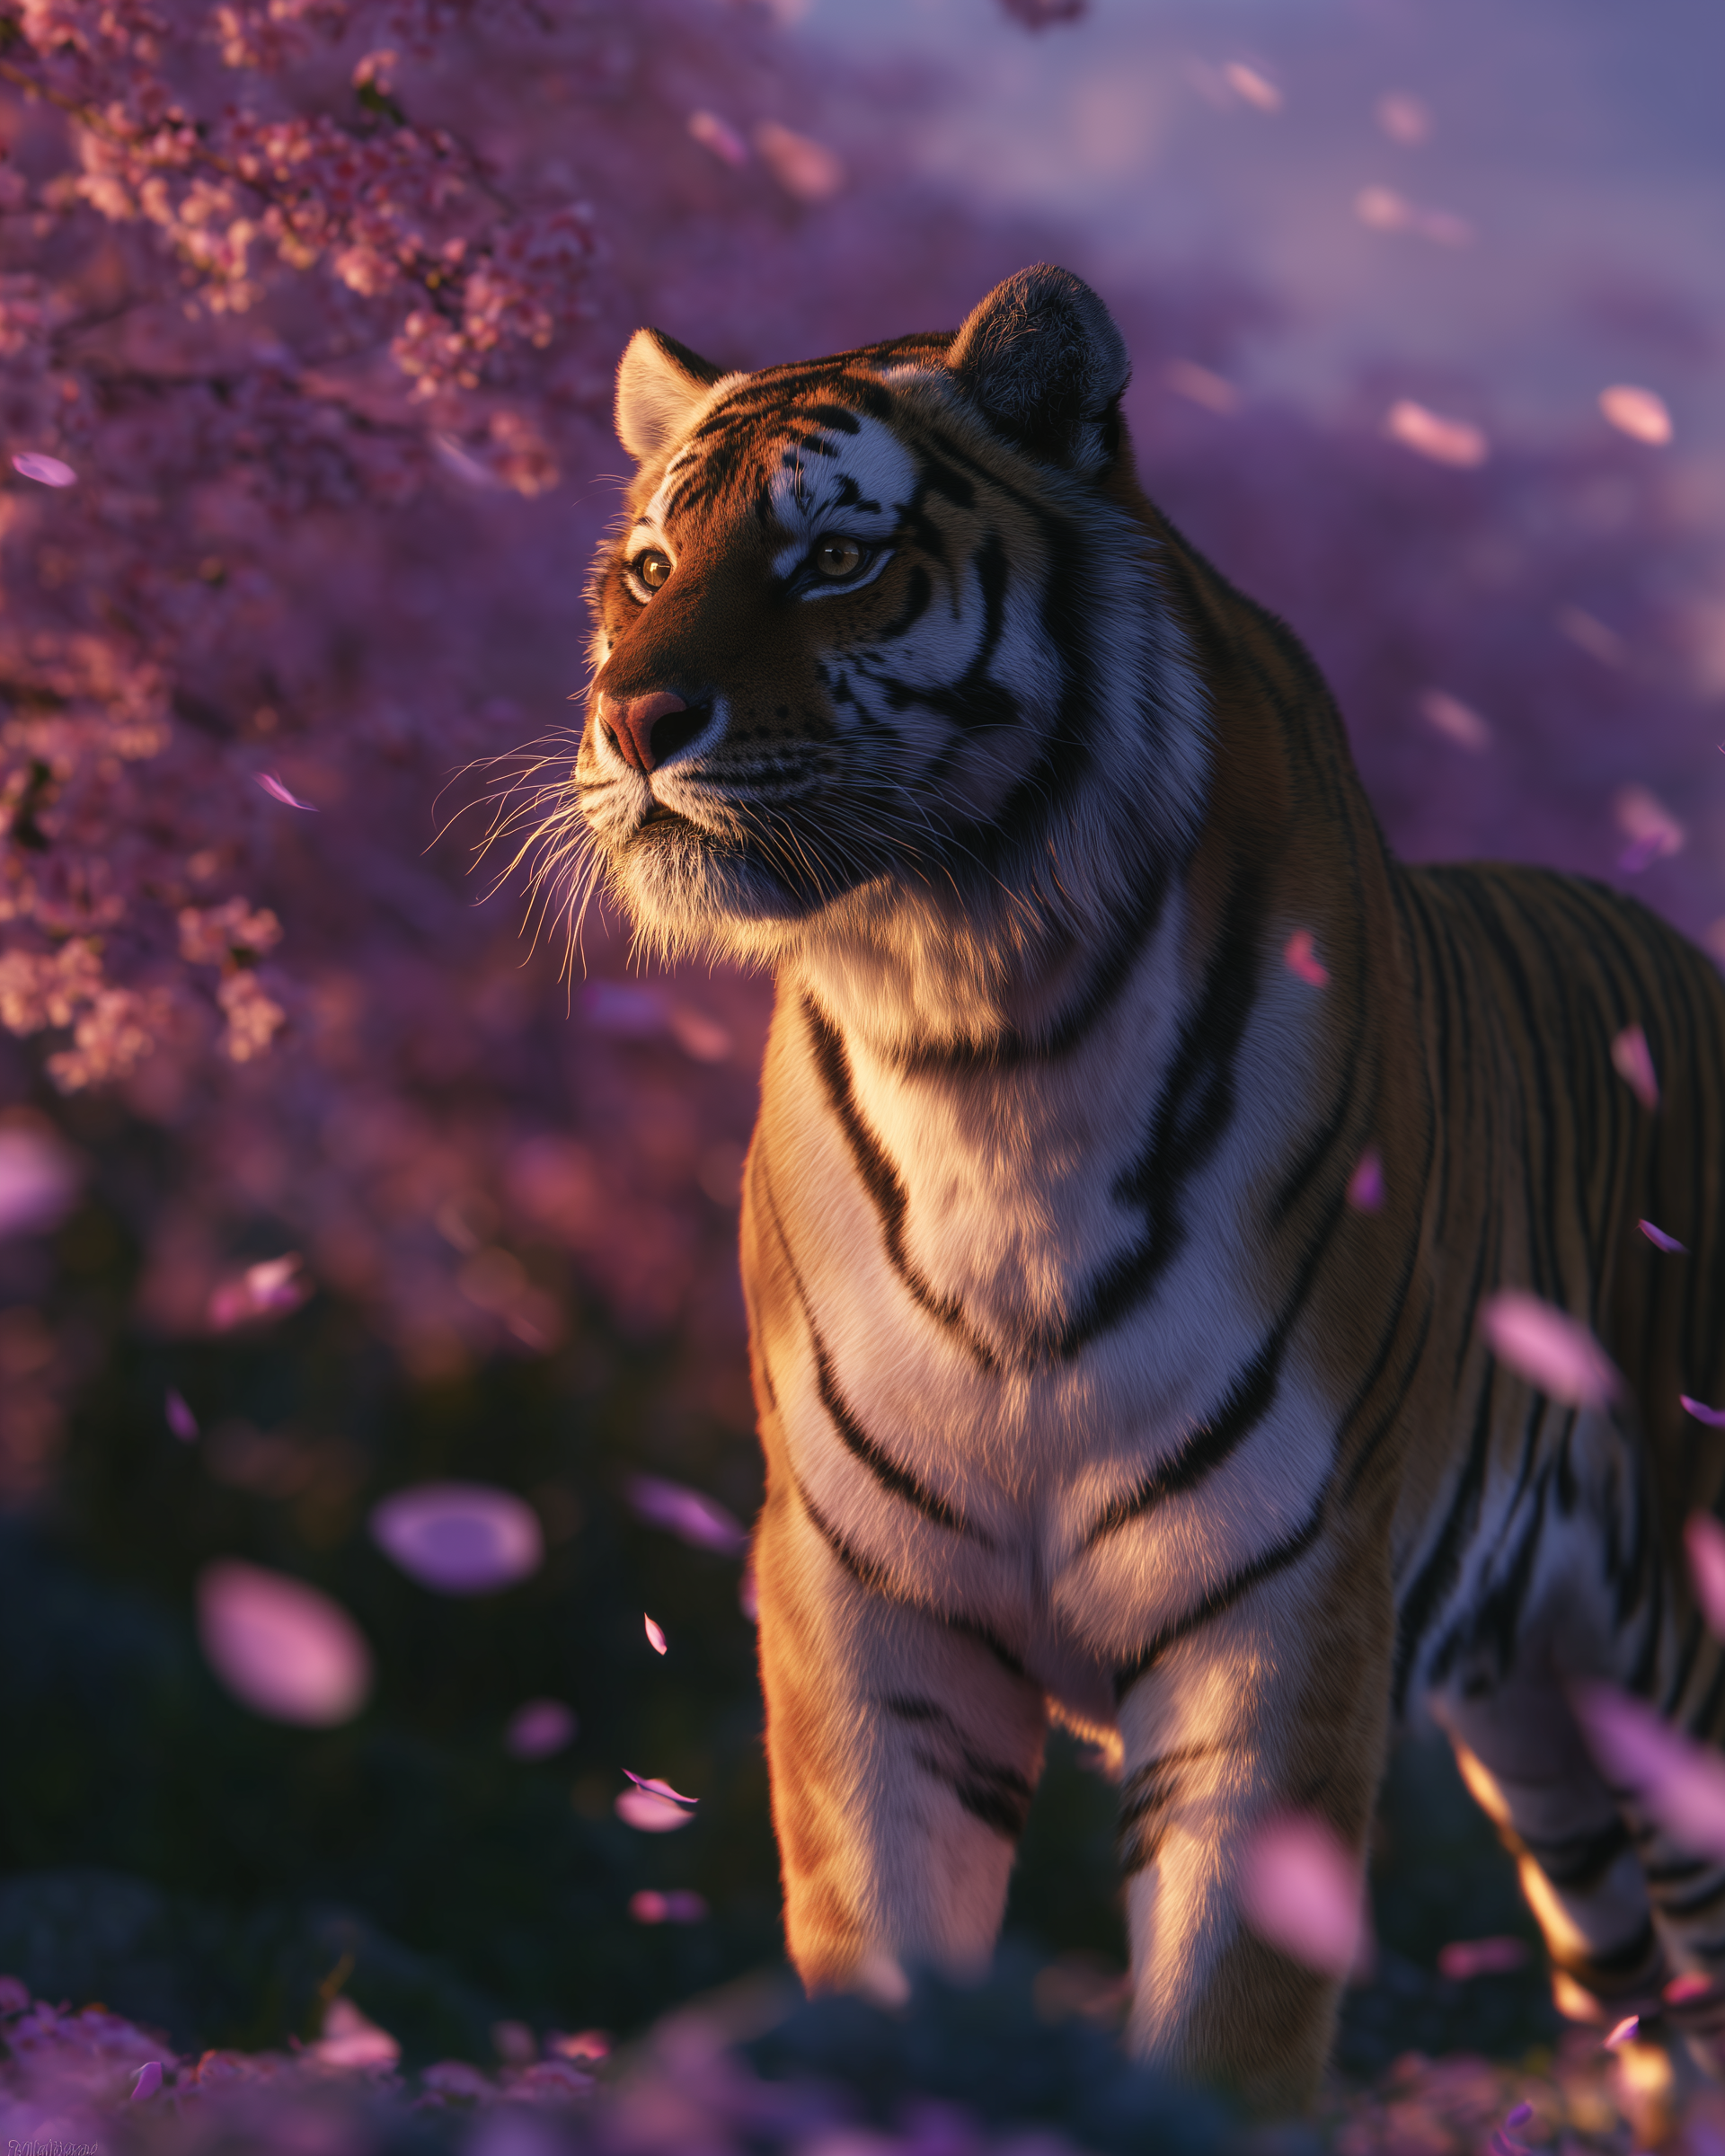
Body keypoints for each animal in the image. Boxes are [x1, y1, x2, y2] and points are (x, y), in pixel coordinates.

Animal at [560, 263, 1725, 2110]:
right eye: (652, 569)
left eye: (837, 556)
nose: (633, 716)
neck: (971, 1020)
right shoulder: (867, 1597)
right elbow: (878, 1933)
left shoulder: (1284, 1602)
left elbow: (1229, 2006)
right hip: (1538, 1722)